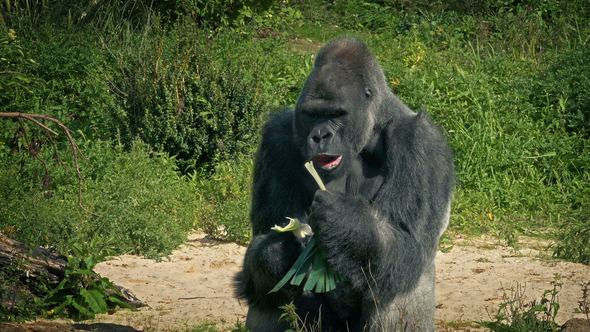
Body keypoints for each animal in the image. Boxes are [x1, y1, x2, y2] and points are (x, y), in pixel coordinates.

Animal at [234, 37, 456, 330]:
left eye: (336, 114)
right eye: (312, 115)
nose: (320, 136)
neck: (371, 127)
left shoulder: (420, 141)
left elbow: (407, 242)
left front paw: (343, 222)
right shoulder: (276, 137)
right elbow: (267, 235)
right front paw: (281, 251)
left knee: (393, 285)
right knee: (268, 295)